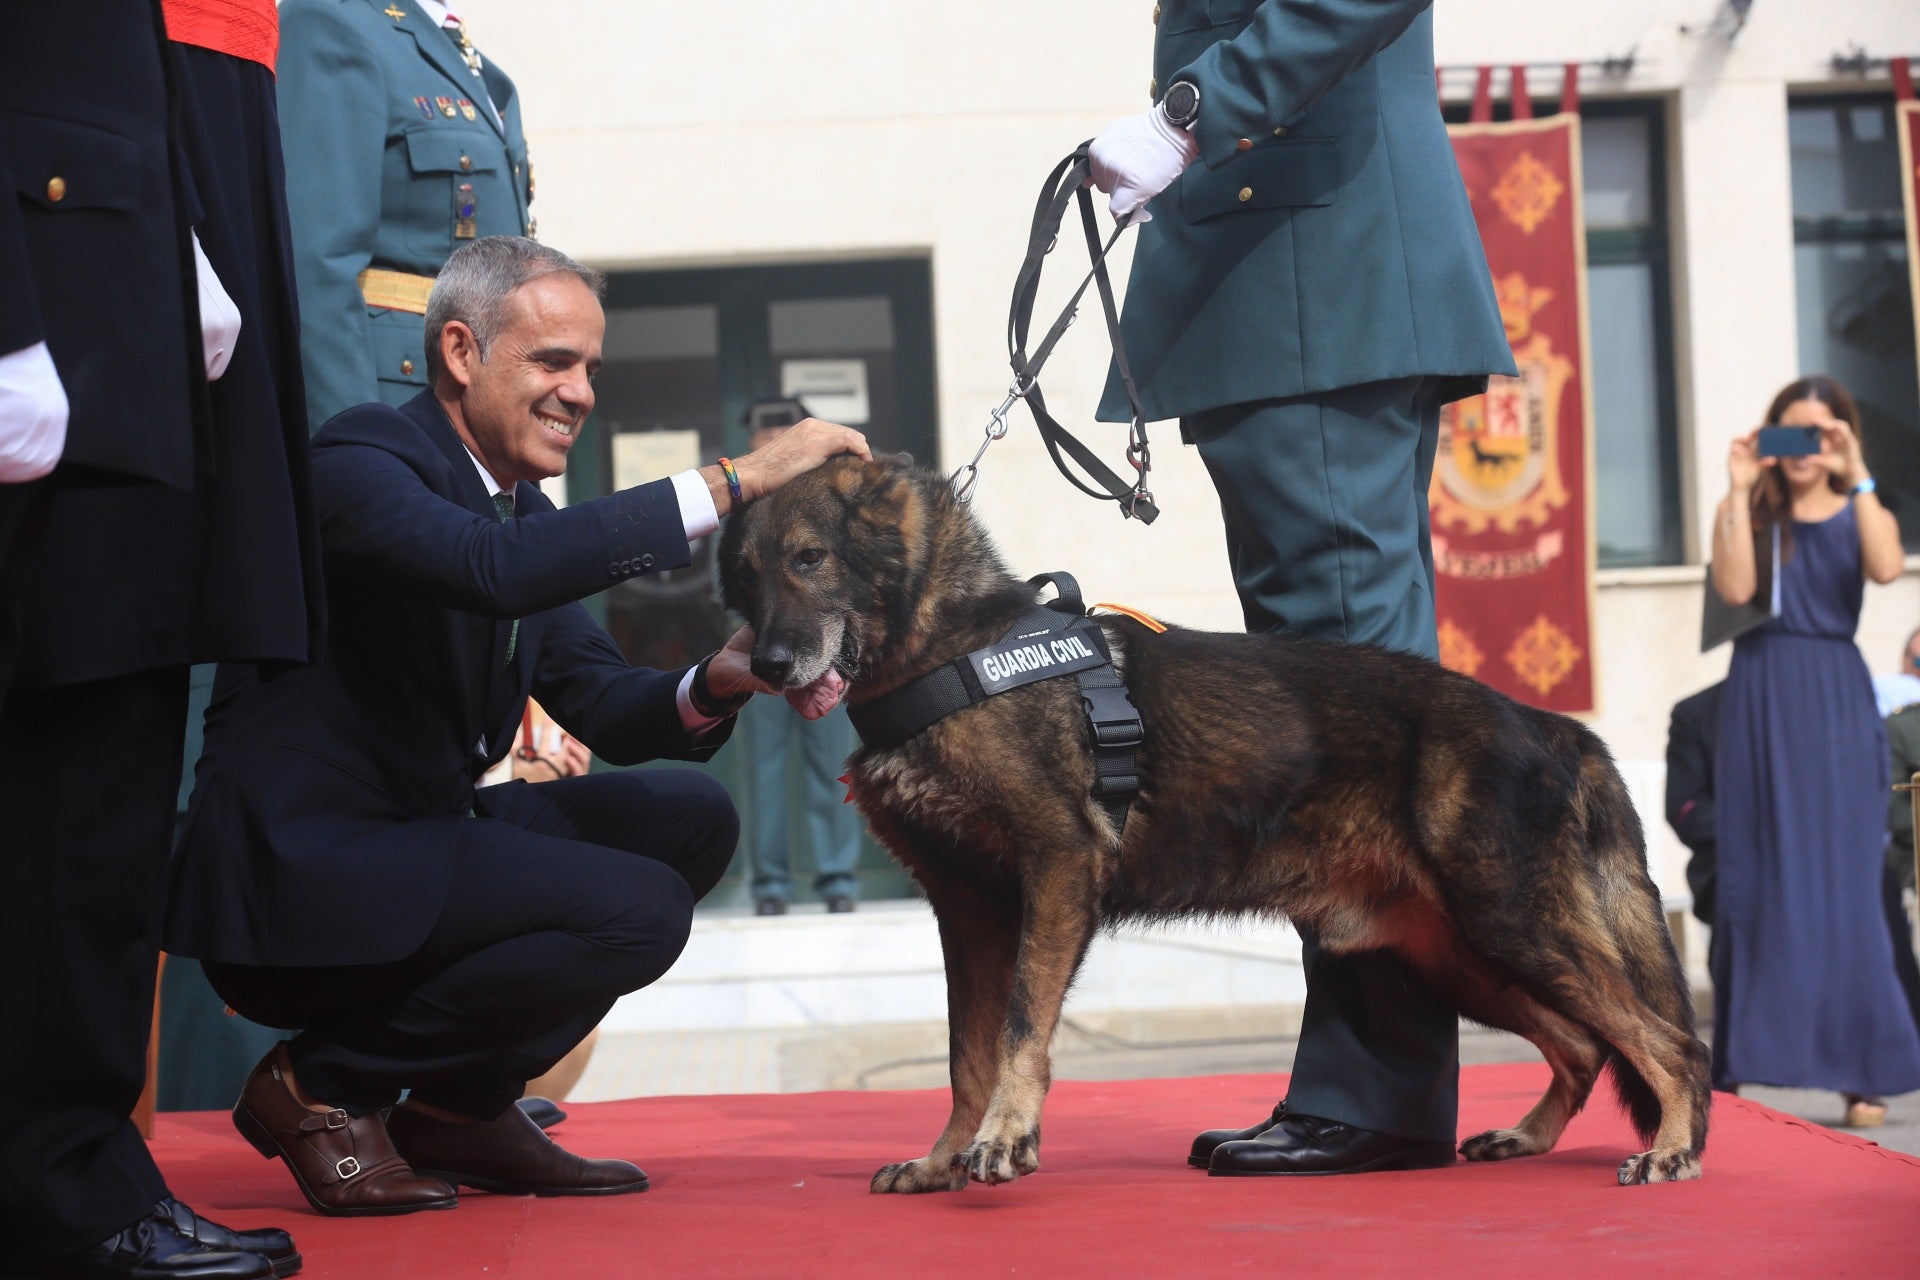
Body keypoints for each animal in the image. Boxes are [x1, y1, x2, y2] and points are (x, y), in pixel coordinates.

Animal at [721, 458, 1712, 1189]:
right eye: (746, 578)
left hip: (1508, 926)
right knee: (1587, 1043)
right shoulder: (968, 915)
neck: (951, 649)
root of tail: (1550, 723)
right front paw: (941, 1160)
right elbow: (966, 1054)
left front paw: (1006, 1137)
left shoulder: (1056, 870)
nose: (766, 665)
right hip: (1457, 956)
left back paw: (1673, 1147)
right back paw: (1531, 1138)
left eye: (809, 559)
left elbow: (1016, 1032)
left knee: (1668, 1041)